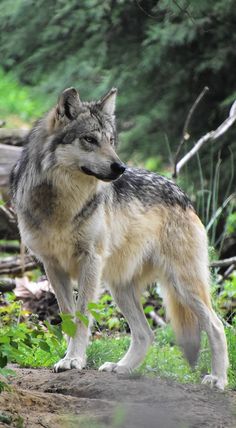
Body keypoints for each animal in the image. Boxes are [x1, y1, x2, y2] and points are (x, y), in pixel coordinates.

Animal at [9, 86, 229, 388]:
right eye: (90, 139)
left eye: (111, 141)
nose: (120, 168)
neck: (62, 203)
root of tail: (183, 194)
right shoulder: (52, 266)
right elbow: (68, 317)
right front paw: (69, 358)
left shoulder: (90, 260)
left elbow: (82, 317)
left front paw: (74, 360)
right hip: (120, 288)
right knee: (146, 333)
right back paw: (122, 368)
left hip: (182, 285)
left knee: (217, 326)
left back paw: (217, 379)